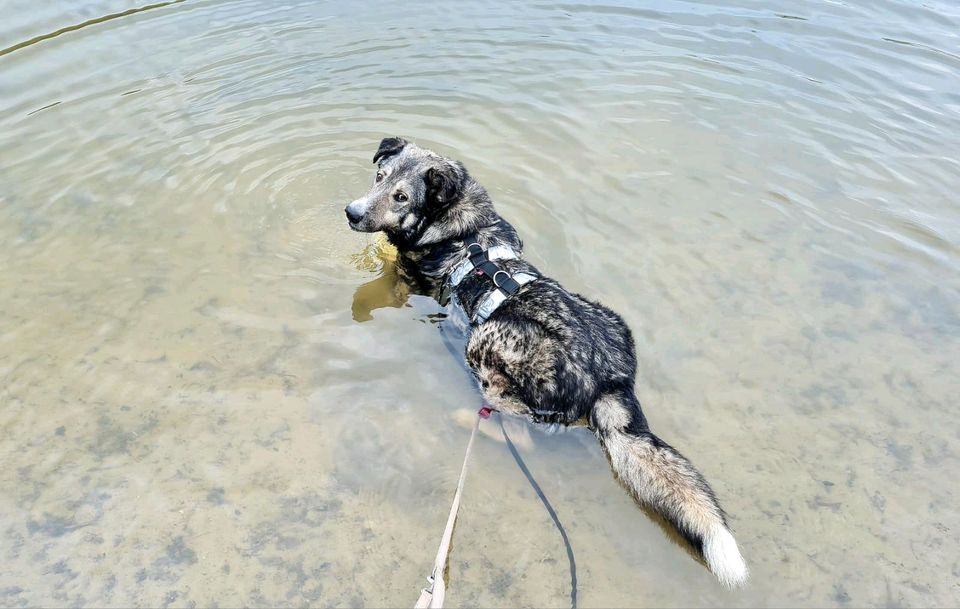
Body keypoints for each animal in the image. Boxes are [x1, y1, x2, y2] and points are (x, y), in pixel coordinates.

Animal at [344, 137, 752, 584]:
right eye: (379, 177)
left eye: (401, 197)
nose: (352, 212)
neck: (461, 226)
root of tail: (610, 381)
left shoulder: (406, 281)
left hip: (487, 343)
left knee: (517, 429)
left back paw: (468, 417)